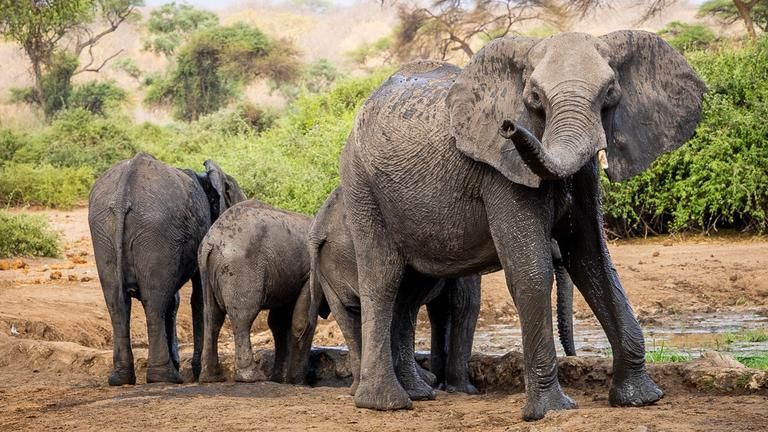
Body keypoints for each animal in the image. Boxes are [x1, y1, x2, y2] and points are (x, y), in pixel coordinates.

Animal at [88, 152, 245, 386]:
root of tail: (124, 194)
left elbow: (175, 299)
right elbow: (199, 297)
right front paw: (198, 371)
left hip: (104, 231)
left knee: (117, 303)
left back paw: (121, 378)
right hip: (155, 230)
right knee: (153, 301)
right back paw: (165, 377)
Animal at [197, 200, 322, 385]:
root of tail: (210, 241)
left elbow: (279, 322)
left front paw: (279, 379)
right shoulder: (311, 274)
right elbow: (303, 320)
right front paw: (296, 381)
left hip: (207, 270)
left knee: (212, 317)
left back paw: (211, 378)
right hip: (240, 268)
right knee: (243, 316)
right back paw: (252, 377)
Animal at [336, 31, 705, 420]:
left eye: (609, 92)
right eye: (534, 98)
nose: (510, 126)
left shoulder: (583, 177)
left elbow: (594, 262)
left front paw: (642, 398)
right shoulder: (500, 171)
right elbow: (532, 273)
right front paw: (551, 411)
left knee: (410, 291)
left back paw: (418, 394)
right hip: (360, 184)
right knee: (383, 279)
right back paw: (385, 403)